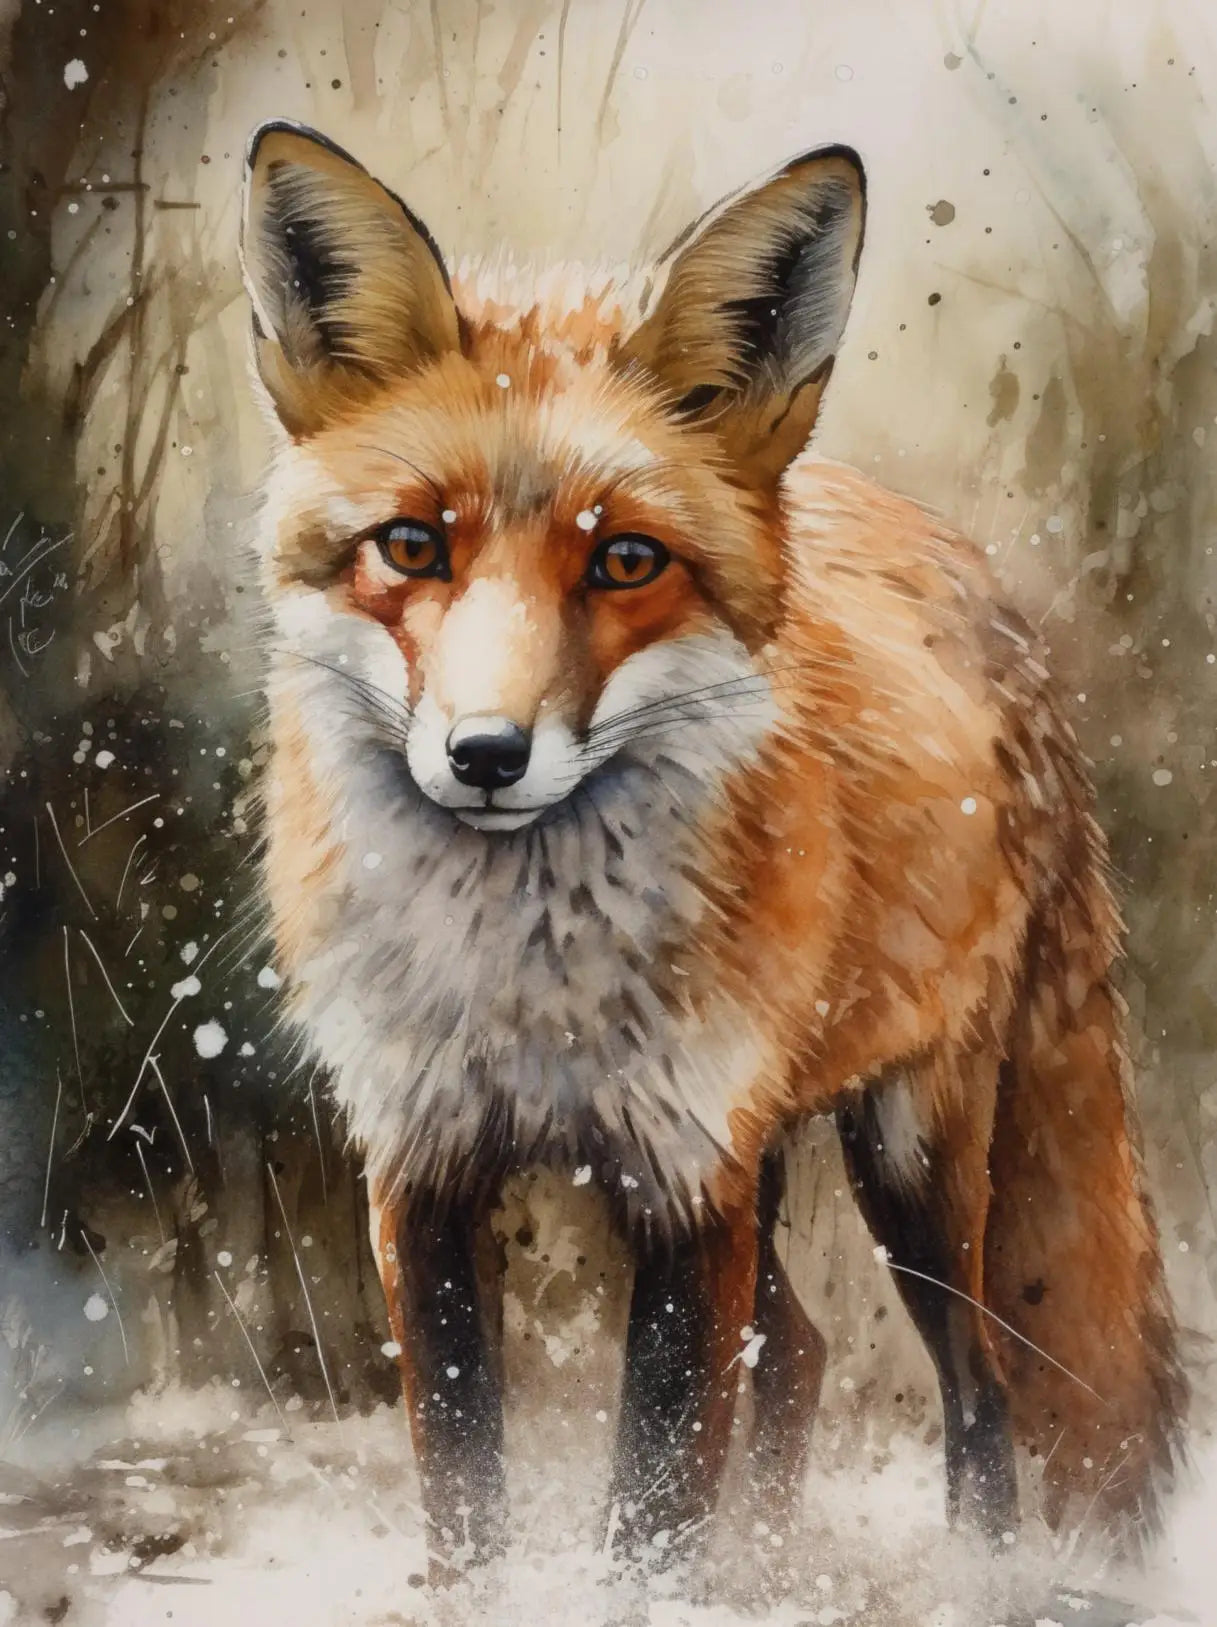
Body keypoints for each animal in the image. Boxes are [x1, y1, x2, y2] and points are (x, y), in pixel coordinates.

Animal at [238, 120, 1184, 1576]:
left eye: (626, 561)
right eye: (410, 545)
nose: (485, 754)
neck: (528, 984)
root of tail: (969, 573)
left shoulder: (688, 1177)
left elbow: (653, 1499)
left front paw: (661, 1587)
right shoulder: (424, 1161)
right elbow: (466, 1491)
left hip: (908, 1155)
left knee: (977, 1386)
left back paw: (971, 1570)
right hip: (773, 1150)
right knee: (795, 1350)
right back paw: (772, 1567)